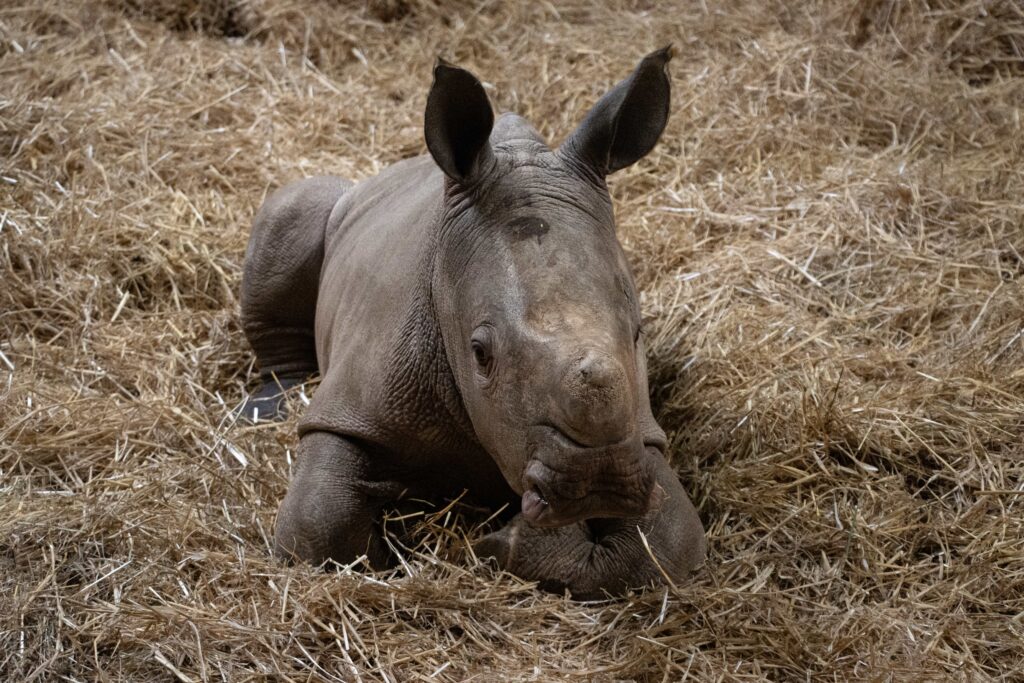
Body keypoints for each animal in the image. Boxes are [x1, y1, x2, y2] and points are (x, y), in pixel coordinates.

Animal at [239, 47, 706, 598]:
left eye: (638, 333)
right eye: (480, 353)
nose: (598, 484)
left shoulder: (642, 432)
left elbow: (667, 544)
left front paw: (503, 544)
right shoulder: (348, 409)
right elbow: (318, 523)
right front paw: (395, 551)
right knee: (292, 207)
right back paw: (270, 405)